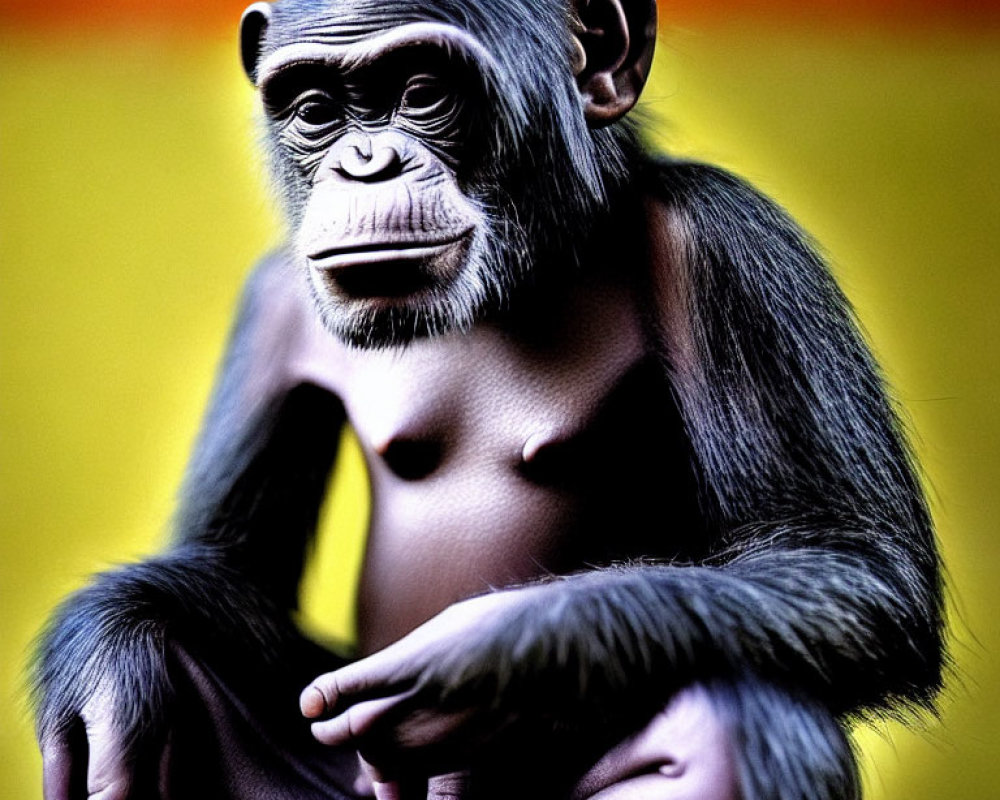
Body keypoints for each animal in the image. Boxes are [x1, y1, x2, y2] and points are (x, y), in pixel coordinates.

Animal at [29, 0, 936, 796]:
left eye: (424, 92)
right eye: (316, 110)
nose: (365, 164)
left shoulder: (734, 248)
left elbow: (852, 563)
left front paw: (481, 666)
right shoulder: (274, 307)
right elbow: (230, 561)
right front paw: (104, 659)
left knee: (724, 719)